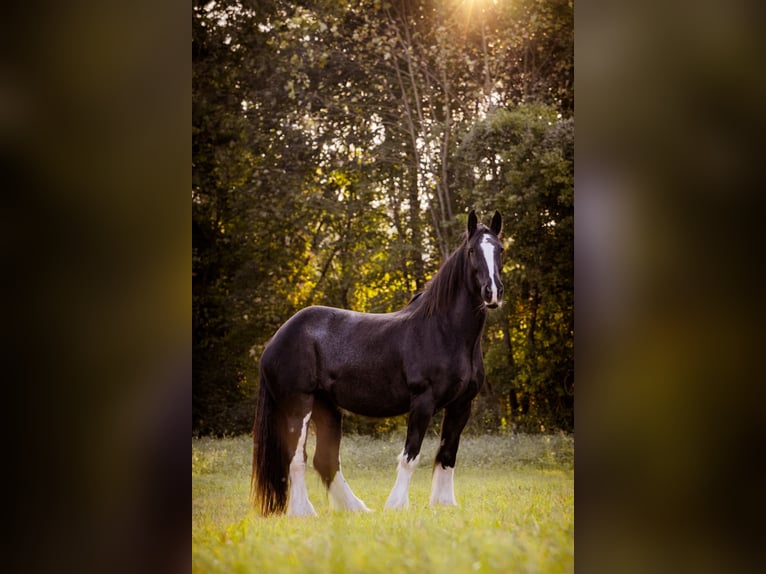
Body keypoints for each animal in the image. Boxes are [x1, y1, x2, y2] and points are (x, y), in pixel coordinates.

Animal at [250, 210, 504, 516]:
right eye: (471, 251)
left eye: (500, 249)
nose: (492, 293)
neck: (444, 331)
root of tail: (274, 342)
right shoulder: (423, 401)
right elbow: (410, 455)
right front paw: (396, 505)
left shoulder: (461, 405)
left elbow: (447, 455)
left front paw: (444, 504)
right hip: (298, 404)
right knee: (296, 457)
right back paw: (303, 512)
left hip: (327, 407)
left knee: (325, 460)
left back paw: (356, 508)